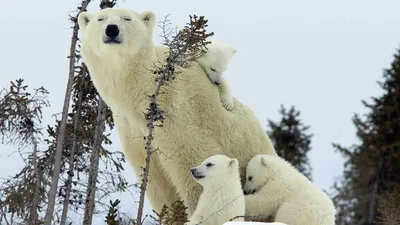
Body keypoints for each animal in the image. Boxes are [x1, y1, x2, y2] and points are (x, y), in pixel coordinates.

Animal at [78, 7, 278, 216]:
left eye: (127, 18)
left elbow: (194, 166)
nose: (112, 29)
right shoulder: (132, 129)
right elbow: (157, 183)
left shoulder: (179, 114)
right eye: (101, 19)